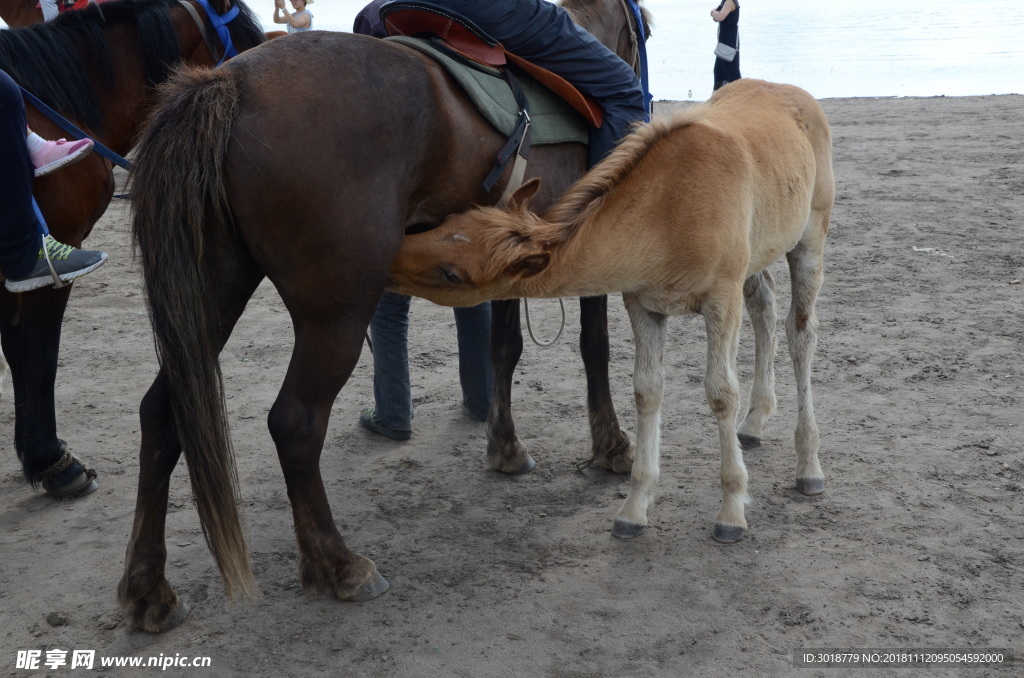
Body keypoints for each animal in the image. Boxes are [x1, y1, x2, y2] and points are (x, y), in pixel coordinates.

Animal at [0, 0, 265, 496]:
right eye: (246, 41)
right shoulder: (50, 259)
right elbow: (40, 354)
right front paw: (53, 462)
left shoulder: (13, 273)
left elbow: (16, 350)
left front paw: (36, 454)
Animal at [124, 0, 651, 631]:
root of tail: (233, 82)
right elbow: (595, 347)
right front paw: (611, 446)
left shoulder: (511, 258)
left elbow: (504, 349)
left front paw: (505, 447)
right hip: (337, 313)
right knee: (295, 422)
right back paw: (337, 564)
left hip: (213, 293)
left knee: (162, 412)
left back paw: (148, 586)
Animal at [389, 79, 835, 543]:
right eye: (450, 221)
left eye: (451, 274)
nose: (391, 255)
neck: (669, 208)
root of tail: (791, 91)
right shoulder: (643, 305)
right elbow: (646, 390)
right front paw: (633, 507)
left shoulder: (720, 299)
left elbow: (720, 392)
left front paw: (731, 510)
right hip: (758, 252)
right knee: (764, 305)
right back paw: (754, 421)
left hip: (809, 239)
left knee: (800, 334)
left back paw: (808, 466)